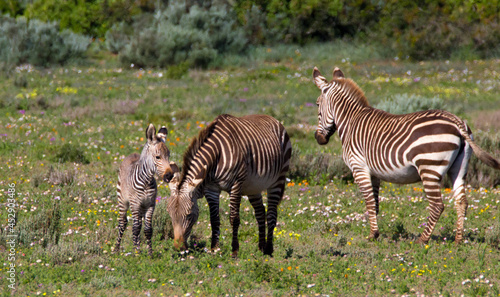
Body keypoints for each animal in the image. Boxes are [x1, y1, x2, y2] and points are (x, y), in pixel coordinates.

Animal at [114, 123, 176, 254]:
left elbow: (148, 229)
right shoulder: (135, 203)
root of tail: (132, 154)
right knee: (123, 222)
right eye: (158, 157)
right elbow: (135, 228)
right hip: (122, 200)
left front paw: (149, 253)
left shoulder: (150, 204)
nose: (169, 176)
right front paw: (135, 254)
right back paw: (116, 249)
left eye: (168, 156)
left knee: (139, 223)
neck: (146, 181)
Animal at [166, 114, 292, 256]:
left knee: (271, 214)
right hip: (254, 186)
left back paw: (269, 250)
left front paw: (235, 251)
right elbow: (214, 219)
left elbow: (234, 218)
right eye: (170, 214)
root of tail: (274, 119)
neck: (216, 156)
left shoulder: (236, 185)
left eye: (189, 215)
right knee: (260, 212)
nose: (179, 248)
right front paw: (214, 249)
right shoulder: (211, 189)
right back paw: (261, 248)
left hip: (278, 179)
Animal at [312, 66, 500, 243]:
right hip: (460, 167)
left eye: (317, 104)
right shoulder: (374, 173)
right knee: (461, 202)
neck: (351, 121)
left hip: (429, 167)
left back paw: (422, 240)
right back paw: (458, 240)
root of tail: (457, 121)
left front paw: (372, 235)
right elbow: (375, 204)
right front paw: (376, 233)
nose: (318, 138)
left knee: (437, 205)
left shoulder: (359, 168)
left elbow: (369, 202)